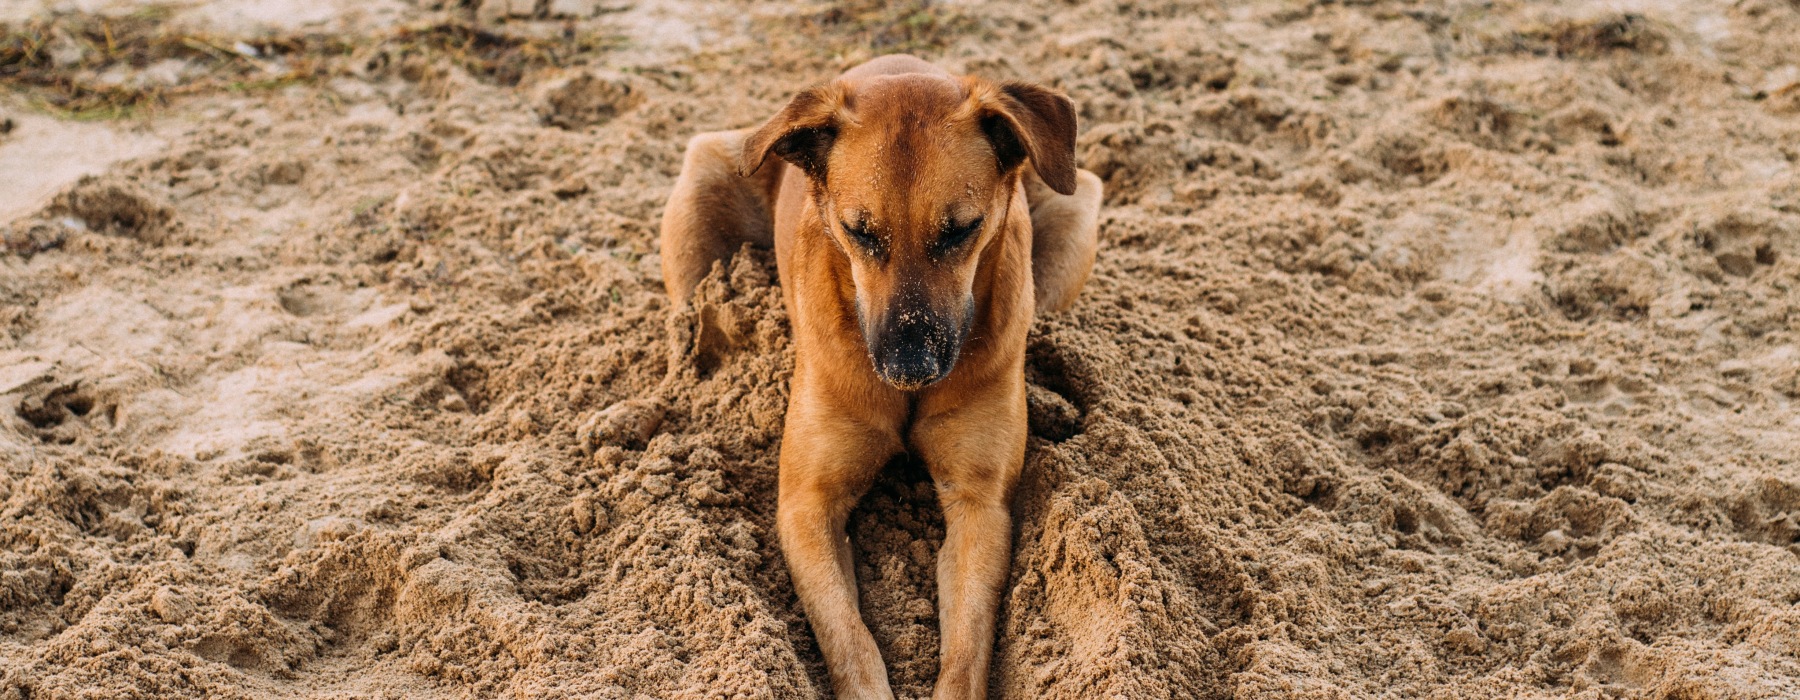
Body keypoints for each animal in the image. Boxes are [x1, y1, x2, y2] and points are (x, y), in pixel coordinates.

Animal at [658, 56, 1094, 698]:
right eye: (859, 231)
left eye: (960, 230)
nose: (908, 367)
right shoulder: (807, 506)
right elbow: (850, 637)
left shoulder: (980, 506)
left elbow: (966, 647)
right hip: (698, 204)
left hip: (1076, 207)